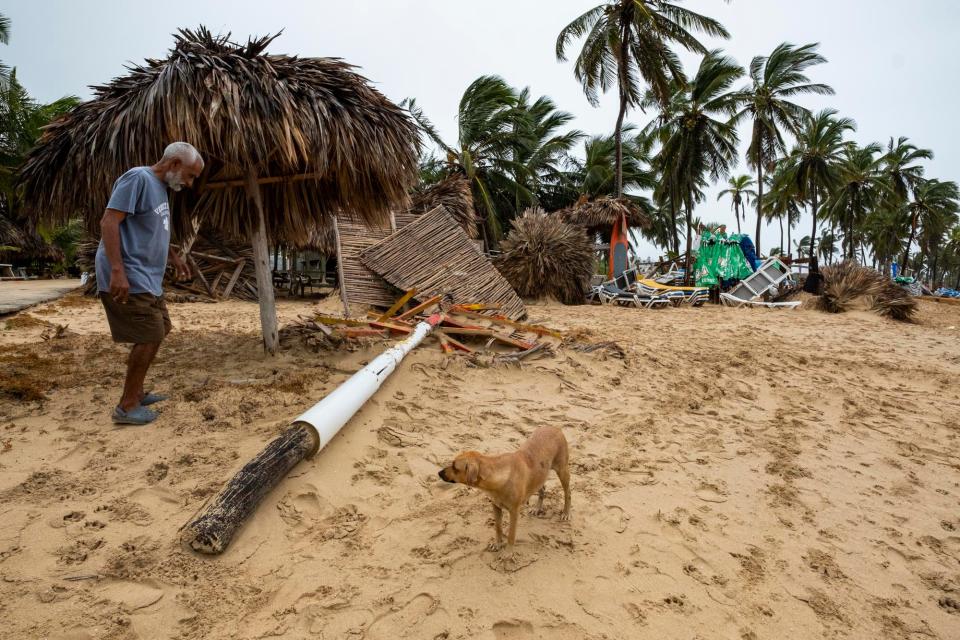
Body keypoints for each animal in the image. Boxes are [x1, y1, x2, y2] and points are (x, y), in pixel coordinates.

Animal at [440, 424, 572, 552]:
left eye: (455, 467)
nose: (439, 473)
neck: (497, 476)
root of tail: (555, 428)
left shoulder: (514, 512)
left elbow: (511, 535)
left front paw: (508, 554)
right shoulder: (496, 506)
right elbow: (498, 527)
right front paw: (498, 544)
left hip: (562, 470)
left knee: (568, 493)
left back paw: (566, 512)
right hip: (540, 475)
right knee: (542, 488)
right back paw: (537, 508)